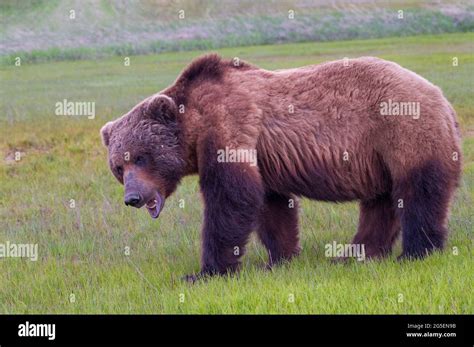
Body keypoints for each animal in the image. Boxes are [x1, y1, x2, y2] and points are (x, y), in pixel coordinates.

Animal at [101, 55, 462, 282]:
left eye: (142, 156)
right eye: (118, 166)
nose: (133, 197)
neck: (195, 125)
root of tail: (443, 98)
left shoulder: (230, 127)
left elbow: (231, 199)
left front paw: (204, 272)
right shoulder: (263, 158)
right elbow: (270, 206)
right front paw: (280, 258)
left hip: (403, 131)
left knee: (417, 193)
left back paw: (414, 253)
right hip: (377, 157)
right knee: (380, 202)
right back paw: (355, 253)